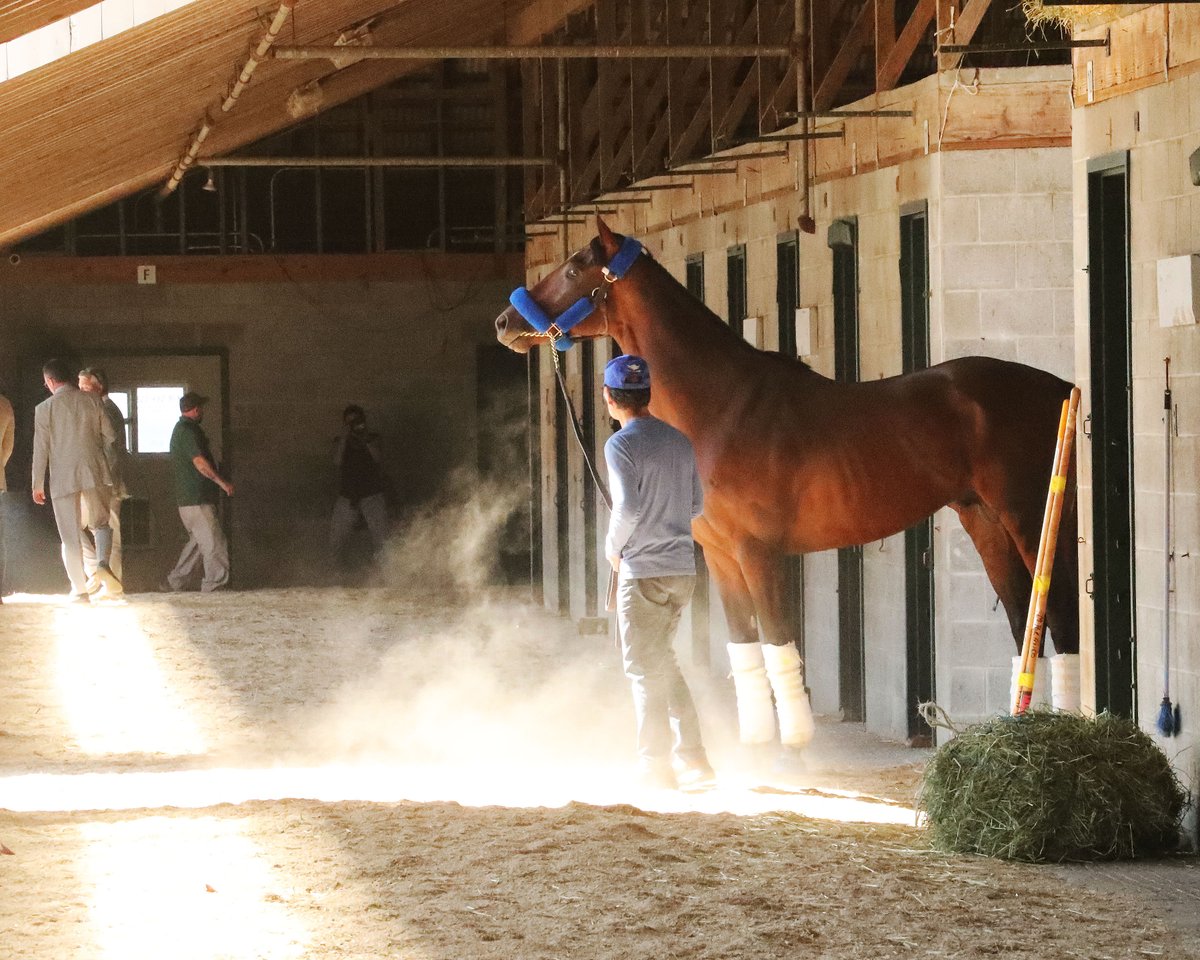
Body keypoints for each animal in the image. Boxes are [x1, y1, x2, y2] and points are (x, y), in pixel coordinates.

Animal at [495, 217, 1078, 753]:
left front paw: (796, 745)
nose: (505, 322)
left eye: (574, 267)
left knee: (1060, 614)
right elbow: (745, 647)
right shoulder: (721, 556)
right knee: (1023, 618)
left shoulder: (760, 553)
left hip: (1031, 518)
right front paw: (756, 745)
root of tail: (1056, 386)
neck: (724, 405)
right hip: (984, 521)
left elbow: (778, 644)